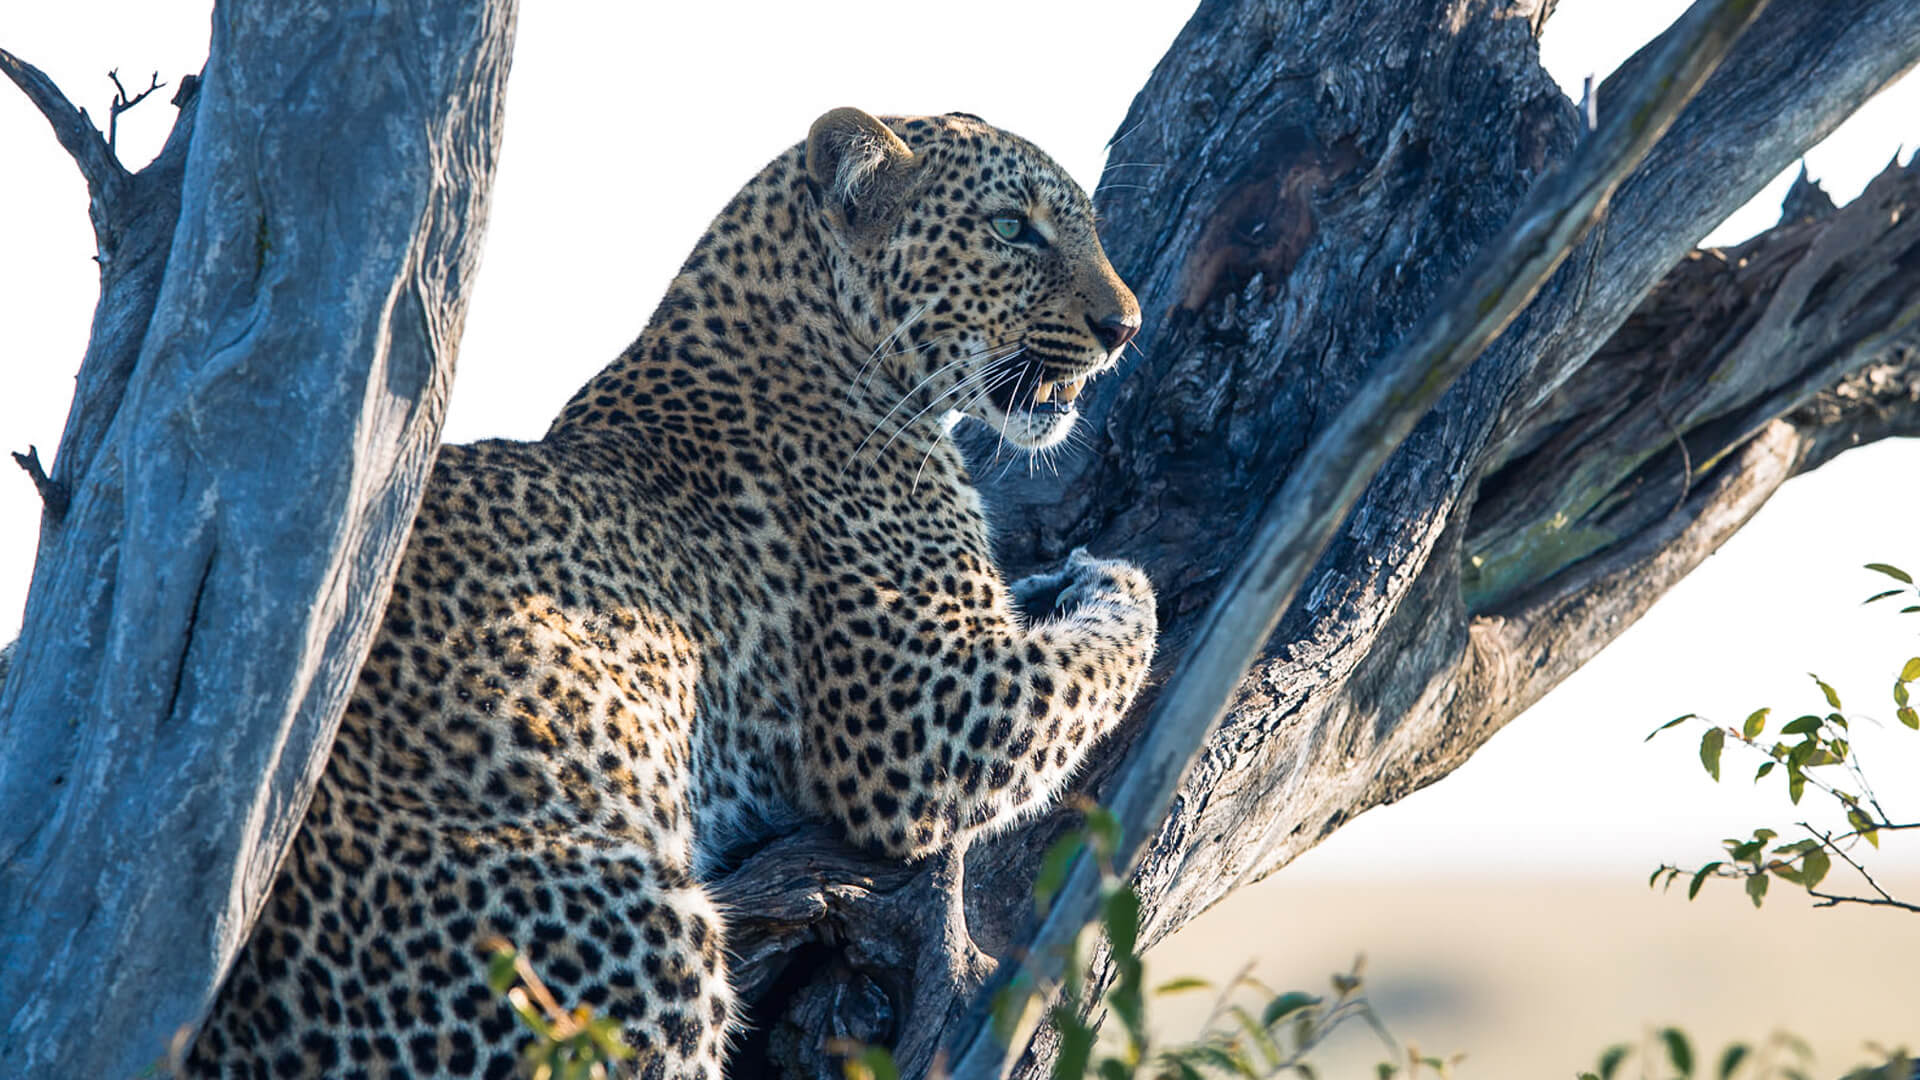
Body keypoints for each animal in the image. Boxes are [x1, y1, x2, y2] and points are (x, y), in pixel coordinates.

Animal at [185, 107, 1157, 1080]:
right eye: (1012, 228)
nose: (1123, 326)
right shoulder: (922, 714)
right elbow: (1097, 654)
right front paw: (1111, 578)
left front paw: (1054, 578)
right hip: (634, 941)